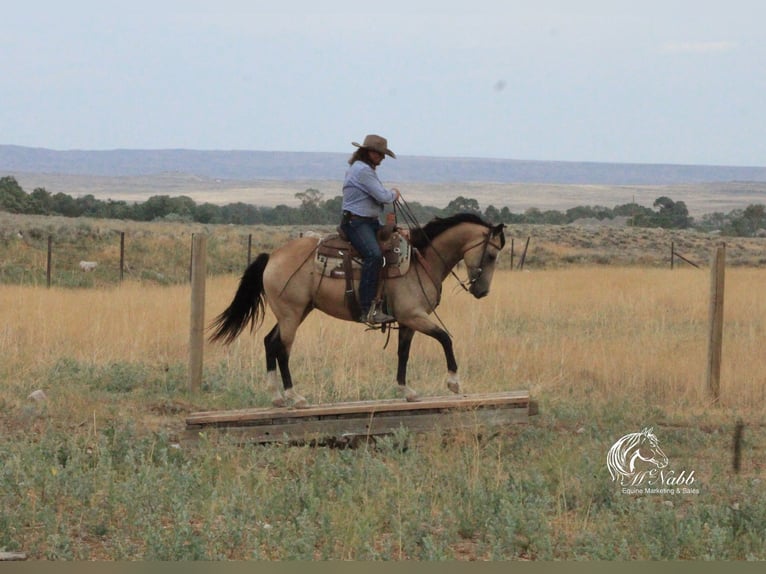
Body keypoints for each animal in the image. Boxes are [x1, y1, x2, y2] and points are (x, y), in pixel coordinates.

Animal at [210, 213, 510, 410]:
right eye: (491, 255)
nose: (482, 291)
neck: (421, 262)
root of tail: (272, 256)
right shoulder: (414, 316)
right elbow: (445, 338)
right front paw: (453, 382)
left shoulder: (408, 322)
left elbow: (403, 353)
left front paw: (406, 390)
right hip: (291, 314)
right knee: (282, 349)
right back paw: (295, 397)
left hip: (296, 312)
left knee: (270, 342)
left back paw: (276, 396)